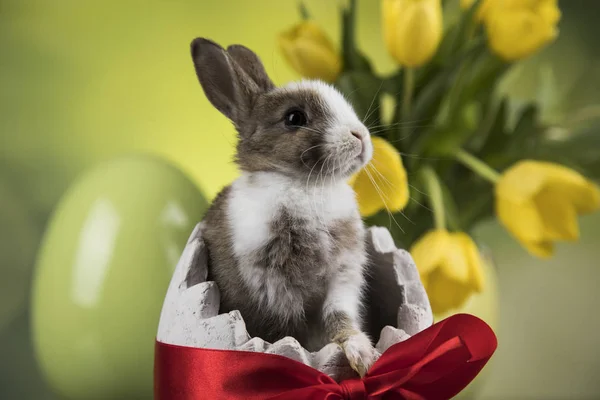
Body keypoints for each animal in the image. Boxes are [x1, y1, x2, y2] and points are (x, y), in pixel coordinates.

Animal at [191, 37, 380, 378]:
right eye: (294, 118)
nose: (360, 136)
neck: (306, 187)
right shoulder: (269, 292)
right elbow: (285, 336)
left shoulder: (343, 280)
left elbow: (340, 319)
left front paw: (363, 356)